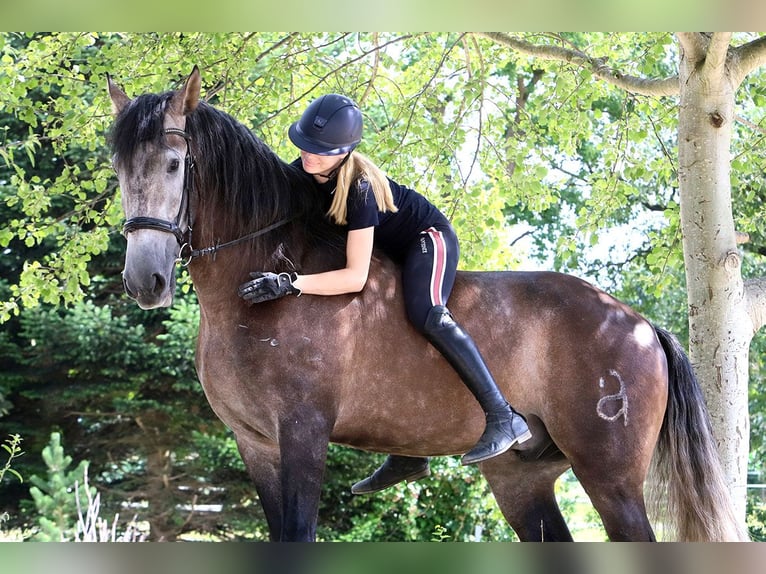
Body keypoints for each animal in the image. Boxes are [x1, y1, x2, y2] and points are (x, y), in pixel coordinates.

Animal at [106, 66, 745, 542]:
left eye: (174, 164)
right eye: (118, 168)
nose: (145, 281)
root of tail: (640, 326)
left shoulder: (303, 434)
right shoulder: (255, 443)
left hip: (611, 478)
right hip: (522, 481)